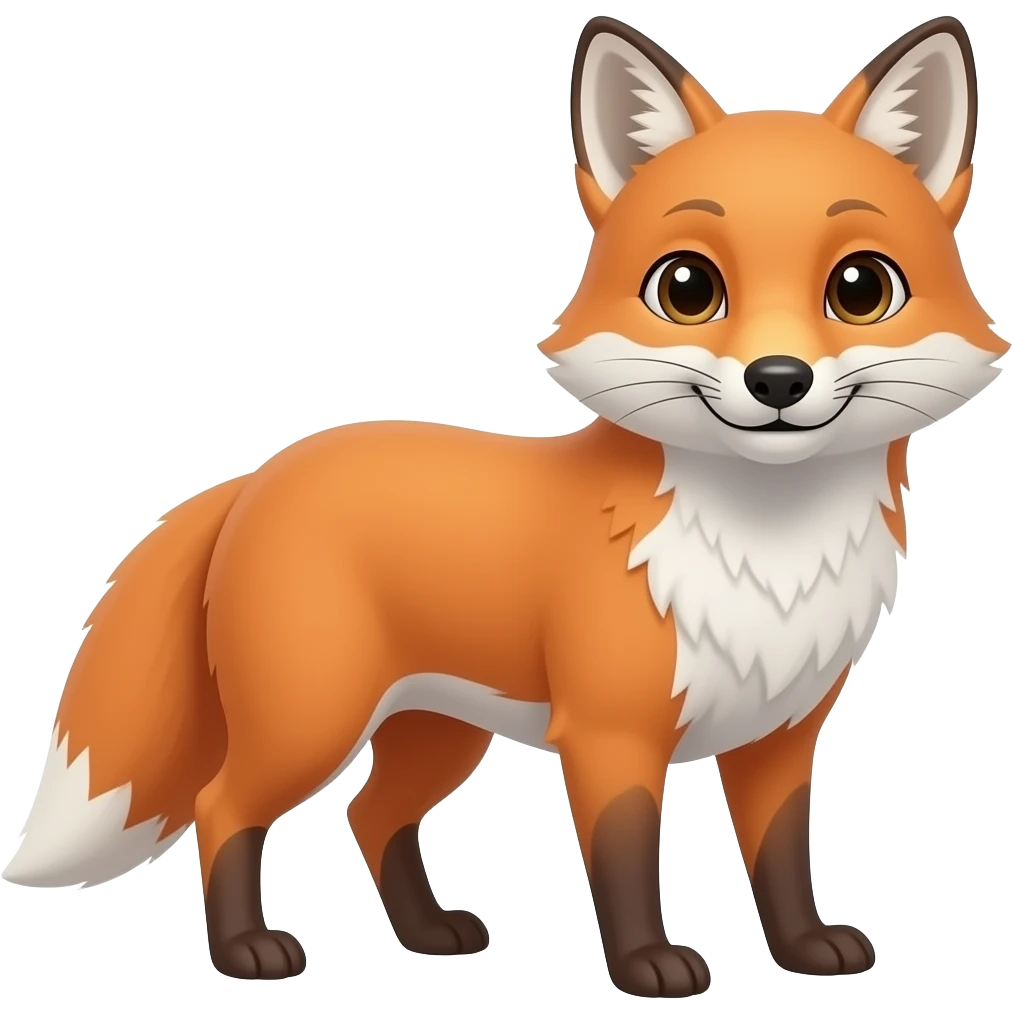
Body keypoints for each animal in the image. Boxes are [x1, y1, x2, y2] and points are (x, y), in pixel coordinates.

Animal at [3, 14, 1006, 997]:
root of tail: (258, 475)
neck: (766, 553)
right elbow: (626, 861)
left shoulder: (782, 737)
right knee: (223, 806)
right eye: (687, 288)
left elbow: (782, 861)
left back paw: (428, 935)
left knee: (371, 815)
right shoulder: (610, 735)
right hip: (311, 719)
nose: (779, 380)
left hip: (437, 732)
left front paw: (803, 951)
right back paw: (248, 951)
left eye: (860, 288)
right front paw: (647, 968)